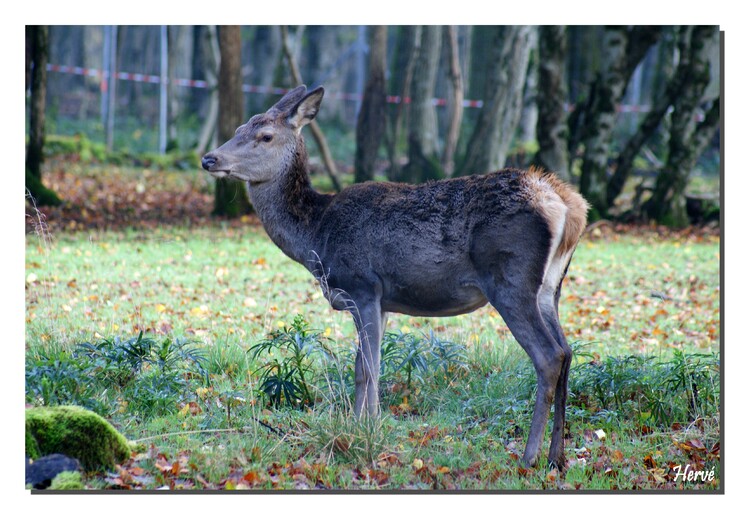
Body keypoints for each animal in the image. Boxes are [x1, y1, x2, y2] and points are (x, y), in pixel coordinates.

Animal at [203, 86, 592, 472]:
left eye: (265, 136)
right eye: (239, 128)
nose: (209, 159)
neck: (316, 235)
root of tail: (569, 206)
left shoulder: (362, 286)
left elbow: (367, 369)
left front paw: (365, 433)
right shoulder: (382, 301)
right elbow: (367, 366)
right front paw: (364, 426)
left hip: (510, 279)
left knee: (549, 356)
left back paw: (529, 457)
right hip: (549, 288)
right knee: (568, 351)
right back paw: (557, 457)